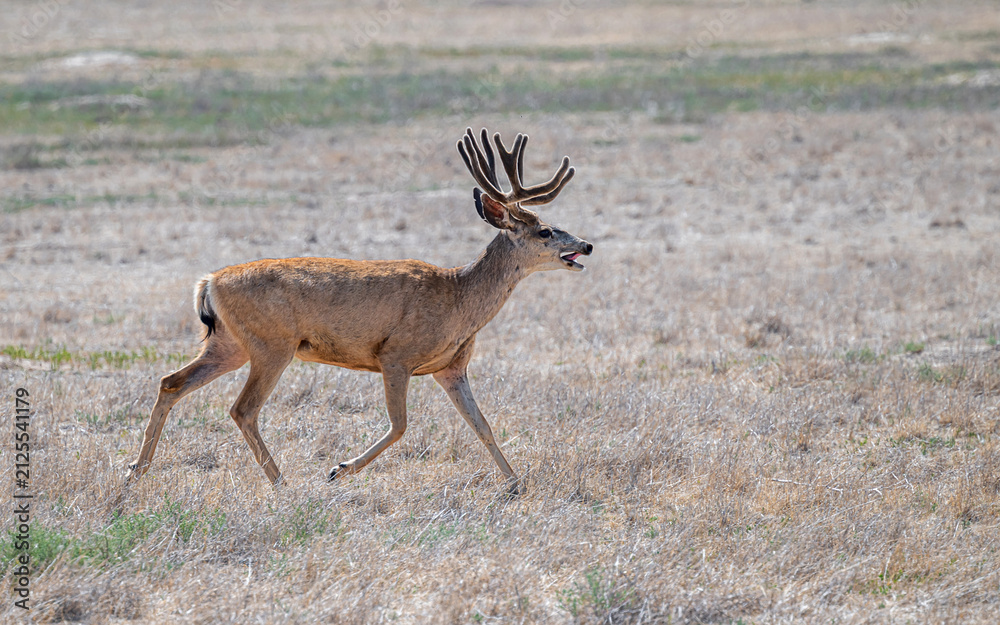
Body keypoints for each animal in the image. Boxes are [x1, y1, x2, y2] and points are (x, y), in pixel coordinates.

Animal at [127, 128, 593, 492]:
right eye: (546, 231)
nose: (586, 244)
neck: (458, 298)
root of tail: (209, 282)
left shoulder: (450, 367)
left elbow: (483, 426)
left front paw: (516, 483)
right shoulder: (396, 354)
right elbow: (401, 425)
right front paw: (339, 469)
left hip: (229, 343)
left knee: (171, 382)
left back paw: (136, 470)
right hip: (272, 343)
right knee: (243, 408)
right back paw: (282, 482)